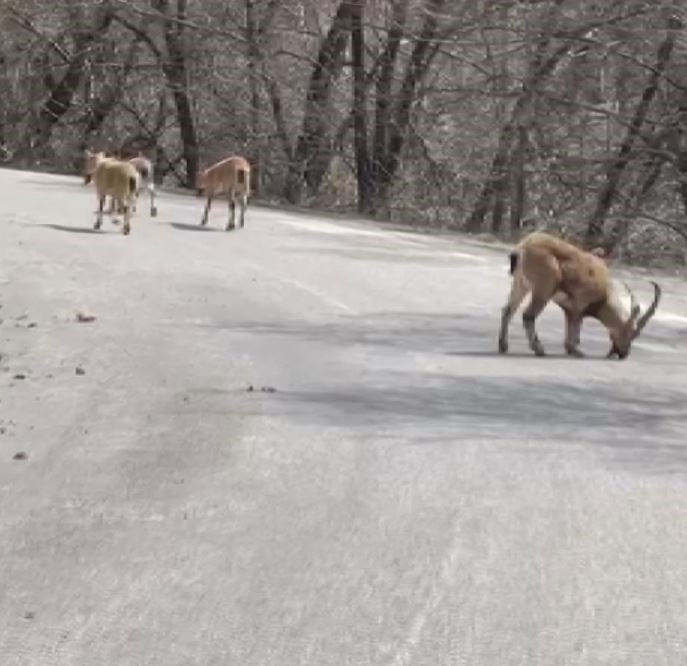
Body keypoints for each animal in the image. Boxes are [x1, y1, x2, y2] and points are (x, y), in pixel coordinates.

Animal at [498, 232, 664, 358]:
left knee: (508, 310)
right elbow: (576, 328)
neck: (603, 295)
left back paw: (503, 346)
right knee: (528, 315)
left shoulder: (569, 308)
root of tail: (522, 248)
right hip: (543, 289)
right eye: (631, 332)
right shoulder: (579, 305)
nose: (623, 354)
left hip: (521, 284)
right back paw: (539, 349)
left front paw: (571, 349)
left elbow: (572, 326)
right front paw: (575, 351)